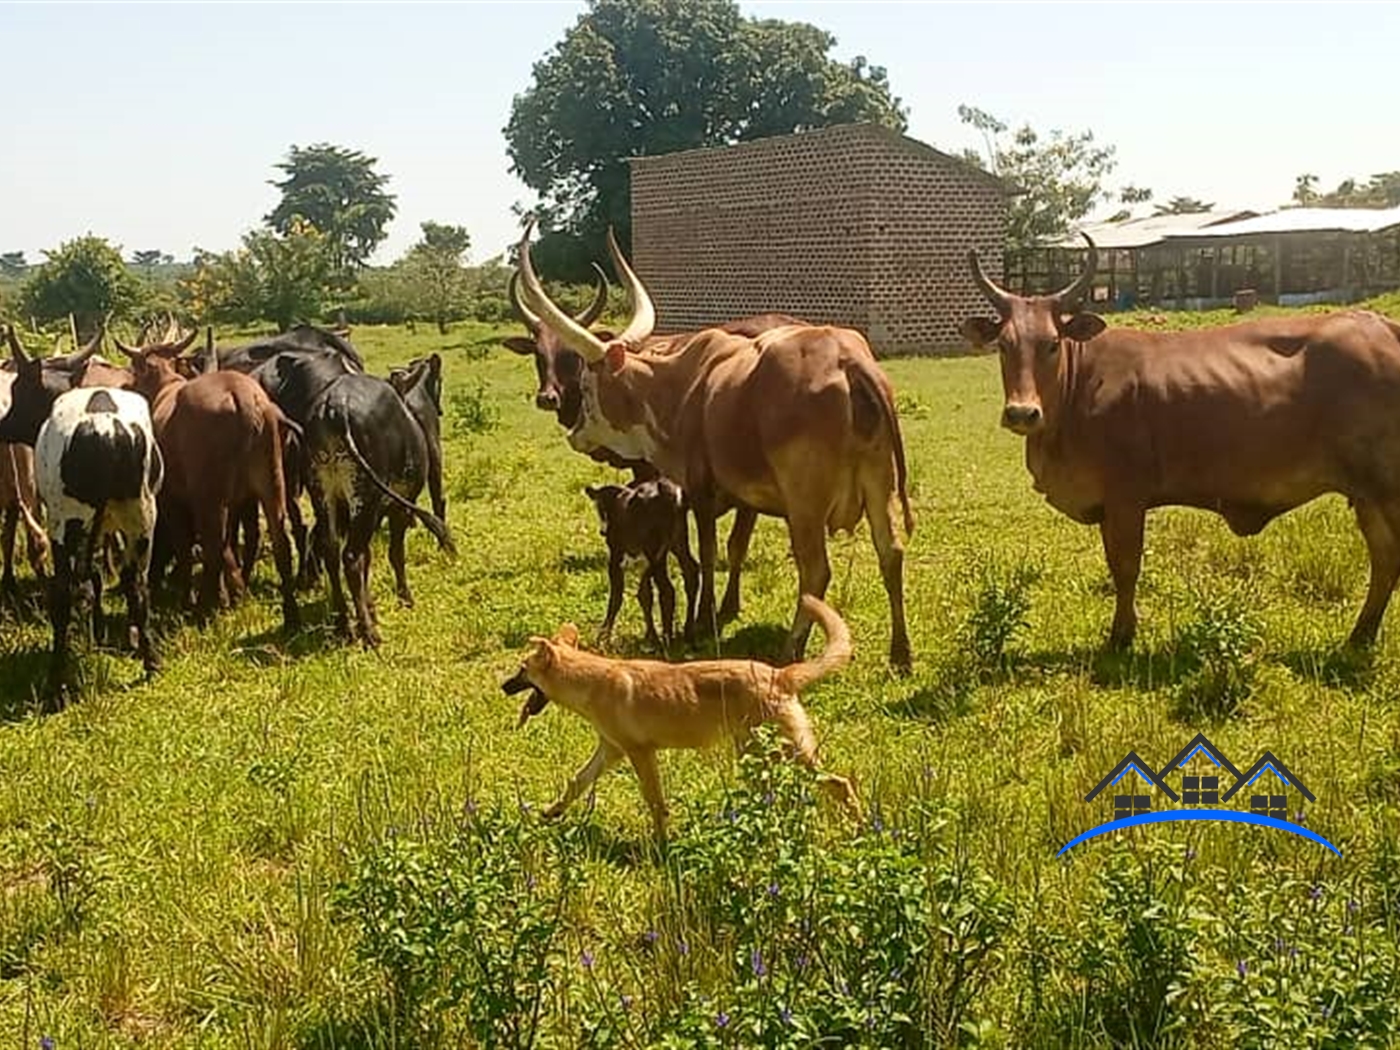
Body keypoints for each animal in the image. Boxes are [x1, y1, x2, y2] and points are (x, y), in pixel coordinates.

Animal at [118, 327, 301, 632]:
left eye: (134, 370)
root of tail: (243, 397)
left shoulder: (173, 500)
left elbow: (185, 547)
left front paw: (194, 598)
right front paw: (233, 592)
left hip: (209, 497)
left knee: (213, 545)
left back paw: (203, 608)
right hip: (270, 485)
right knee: (280, 542)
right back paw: (290, 616)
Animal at [509, 222, 912, 674]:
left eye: (585, 380)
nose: (575, 432)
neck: (684, 385)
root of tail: (847, 361)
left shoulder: (699, 490)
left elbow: (704, 553)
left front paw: (700, 624)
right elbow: (722, 552)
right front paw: (714, 614)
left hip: (805, 504)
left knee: (816, 571)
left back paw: (792, 648)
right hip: (880, 485)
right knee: (891, 553)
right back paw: (900, 653)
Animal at [512, 596, 862, 845]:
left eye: (521, 669)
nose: (504, 686)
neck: (592, 680)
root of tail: (782, 674)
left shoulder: (640, 753)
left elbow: (655, 802)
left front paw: (662, 846)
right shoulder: (611, 751)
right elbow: (576, 782)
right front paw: (550, 813)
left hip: (782, 753)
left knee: (839, 783)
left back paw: (858, 828)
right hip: (756, 755)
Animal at [963, 238, 1400, 649]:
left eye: (1052, 343)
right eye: (1004, 345)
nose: (1022, 413)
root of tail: (1382, 326)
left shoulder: (1127, 497)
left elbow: (1126, 567)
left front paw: (1122, 635)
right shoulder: (1107, 504)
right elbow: (1114, 563)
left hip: (1386, 490)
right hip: (1367, 494)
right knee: (1385, 560)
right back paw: (1360, 635)